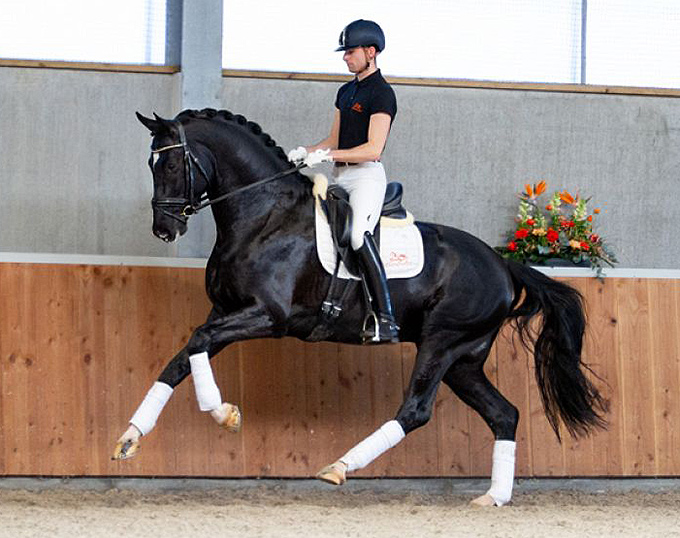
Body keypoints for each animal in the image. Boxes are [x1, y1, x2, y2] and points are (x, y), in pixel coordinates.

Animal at [113, 108, 606, 506]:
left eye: (171, 162)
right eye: (151, 163)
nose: (164, 229)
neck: (264, 216)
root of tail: (503, 263)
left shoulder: (268, 316)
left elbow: (195, 344)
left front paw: (224, 414)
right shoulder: (224, 313)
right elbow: (183, 358)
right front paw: (130, 438)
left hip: (443, 343)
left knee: (416, 410)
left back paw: (339, 467)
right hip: (465, 360)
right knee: (504, 414)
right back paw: (493, 497)